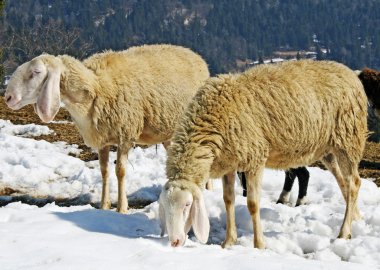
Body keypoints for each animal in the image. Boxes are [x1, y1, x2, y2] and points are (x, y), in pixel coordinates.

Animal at [4, 43, 209, 213]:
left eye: (36, 72)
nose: (8, 98)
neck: (96, 87)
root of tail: (195, 54)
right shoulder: (102, 139)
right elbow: (104, 171)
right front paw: (104, 205)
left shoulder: (126, 135)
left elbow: (120, 171)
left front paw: (122, 207)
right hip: (170, 132)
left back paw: (207, 188)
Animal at [160, 59, 368, 249]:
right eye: (164, 206)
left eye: (187, 205)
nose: (174, 242)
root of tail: (350, 72)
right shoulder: (229, 163)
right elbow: (228, 200)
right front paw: (228, 242)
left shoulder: (255, 159)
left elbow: (252, 204)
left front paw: (259, 244)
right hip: (329, 149)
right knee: (344, 182)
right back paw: (356, 218)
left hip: (348, 139)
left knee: (354, 183)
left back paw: (344, 232)